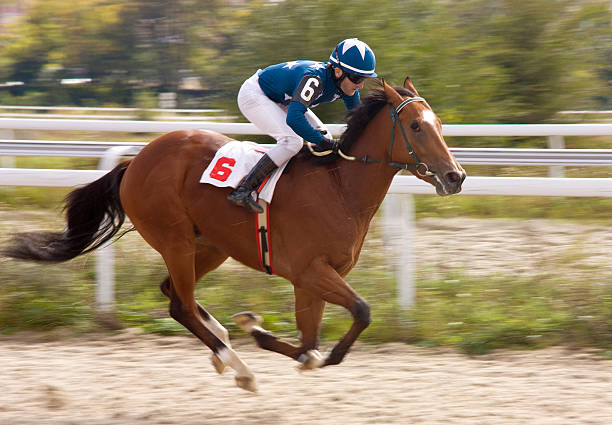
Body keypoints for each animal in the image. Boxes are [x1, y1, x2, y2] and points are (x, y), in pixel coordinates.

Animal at [2, 77, 466, 390]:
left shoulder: (314, 279)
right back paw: (240, 366)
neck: (339, 187)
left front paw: (258, 329)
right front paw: (261, 334)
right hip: (174, 239)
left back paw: (225, 345)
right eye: (416, 126)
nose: (455, 176)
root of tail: (134, 161)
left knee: (175, 293)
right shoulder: (309, 272)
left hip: (210, 245)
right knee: (181, 305)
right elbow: (356, 316)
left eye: (440, 123)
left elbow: (310, 342)